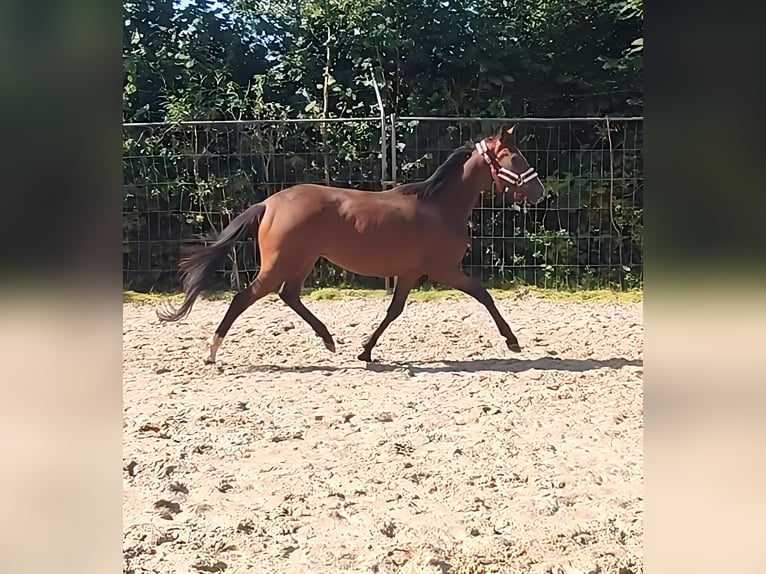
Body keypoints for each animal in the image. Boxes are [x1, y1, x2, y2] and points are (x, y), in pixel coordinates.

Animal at [159, 126, 544, 364]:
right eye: (515, 158)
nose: (540, 192)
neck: (439, 207)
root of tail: (269, 203)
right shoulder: (445, 270)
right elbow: (484, 295)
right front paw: (512, 341)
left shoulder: (410, 274)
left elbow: (394, 311)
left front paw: (365, 351)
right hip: (280, 264)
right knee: (244, 298)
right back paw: (212, 352)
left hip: (303, 261)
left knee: (289, 295)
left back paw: (329, 340)